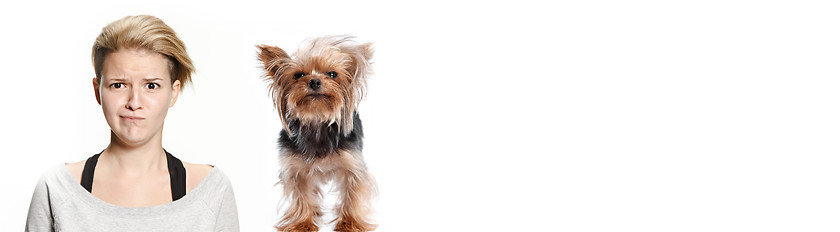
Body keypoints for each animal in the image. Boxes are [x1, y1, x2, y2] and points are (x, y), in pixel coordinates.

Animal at [254, 36, 376, 232]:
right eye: (298, 75)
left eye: (332, 74)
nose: (314, 81)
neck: (317, 120)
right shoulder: (296, 169)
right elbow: (302, 196)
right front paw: (302, 223)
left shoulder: (353, 165)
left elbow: (352, 193)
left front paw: (349, 223)